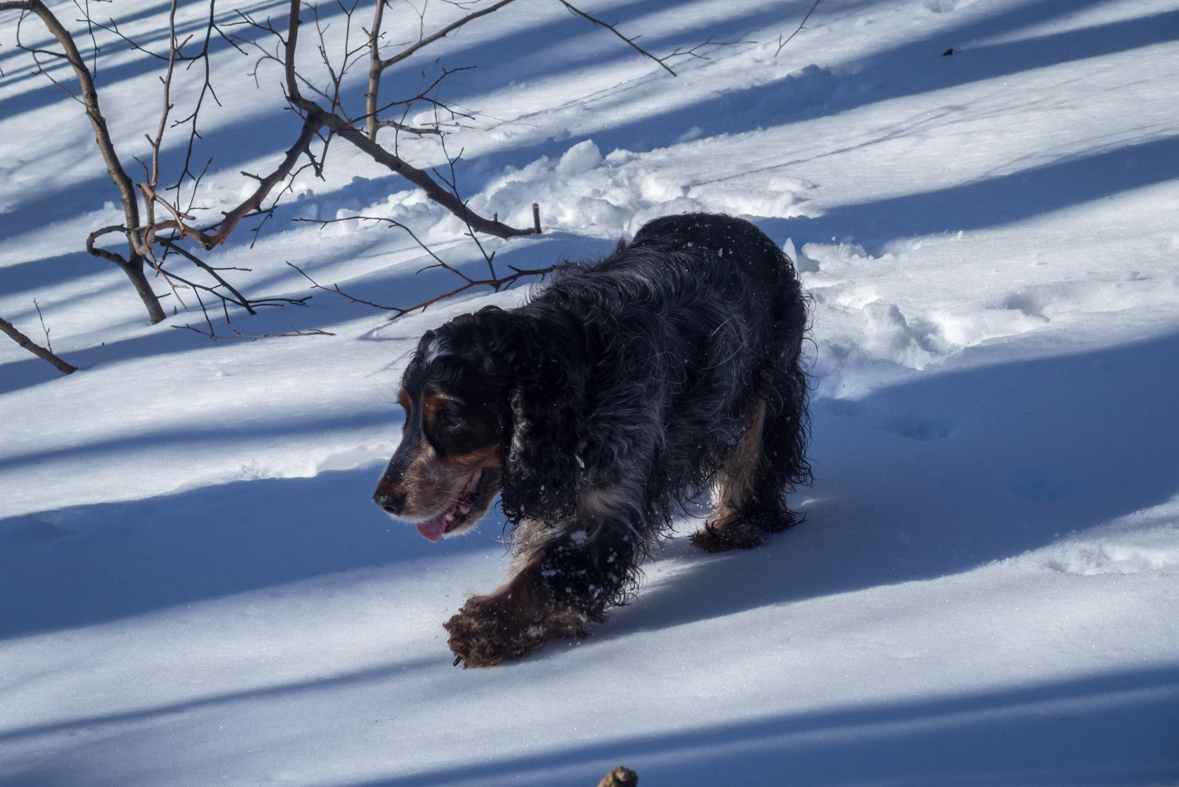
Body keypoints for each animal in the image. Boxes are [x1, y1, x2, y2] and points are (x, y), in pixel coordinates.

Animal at [372, 212, 806, 669]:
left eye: (452, 418)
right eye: (405, 412)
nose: (384, 500)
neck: (578, 370)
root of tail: (738, 223)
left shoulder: (613, 502)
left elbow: (551, 572)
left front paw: (484, 626)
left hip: (769, 384)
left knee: (755, 458)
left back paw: (736, 525)